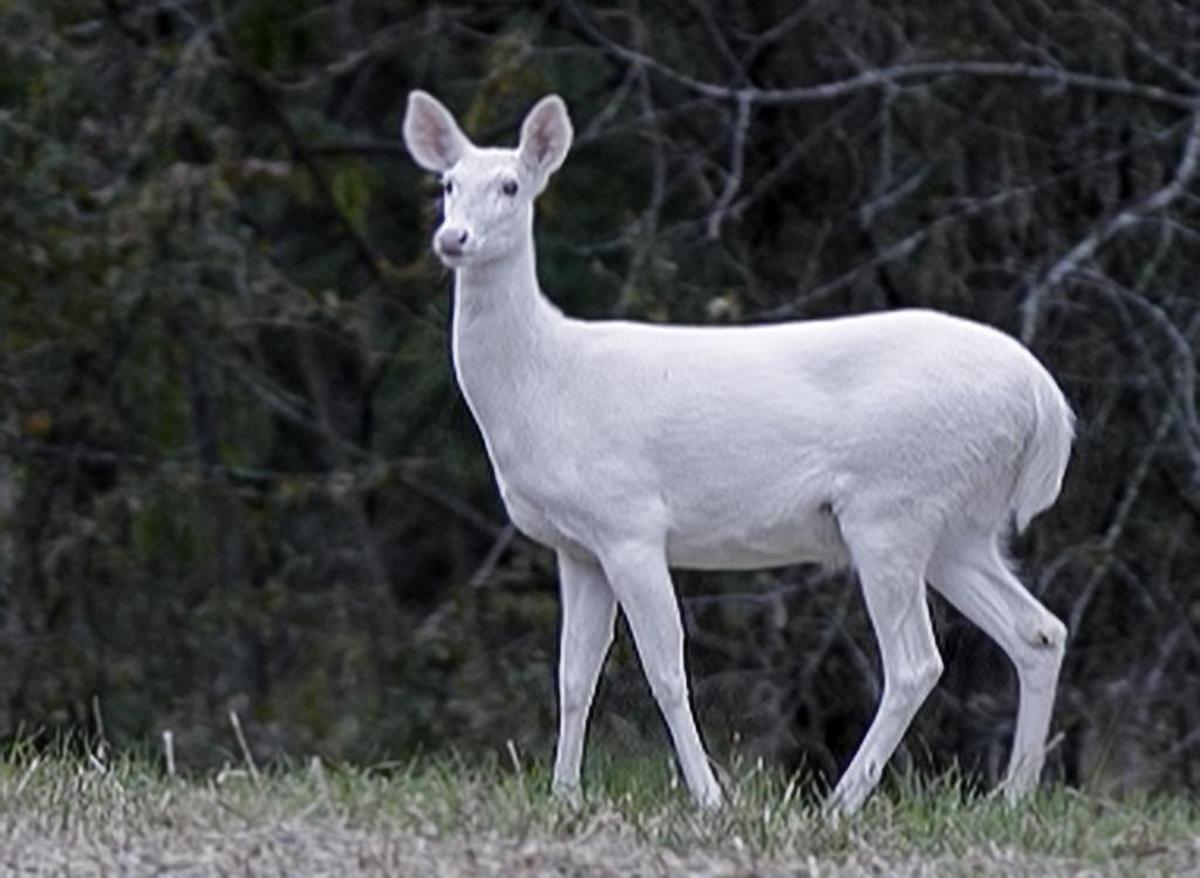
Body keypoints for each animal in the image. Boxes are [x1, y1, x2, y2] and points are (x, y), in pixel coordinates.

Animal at [401, 90, 1074, 815]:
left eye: (511, 185)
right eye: (446, 184)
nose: (453, 239)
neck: (545, 380)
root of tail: (1045, 399)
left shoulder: (630, 521)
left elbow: (666, 670)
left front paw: (708, 798)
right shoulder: (576, 545)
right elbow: (573, 676)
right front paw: (565, 796)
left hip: (893, 505)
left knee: (916, 662)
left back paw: (840, 805)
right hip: (959, 525)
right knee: (1038, 632)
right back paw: (1012, 798)